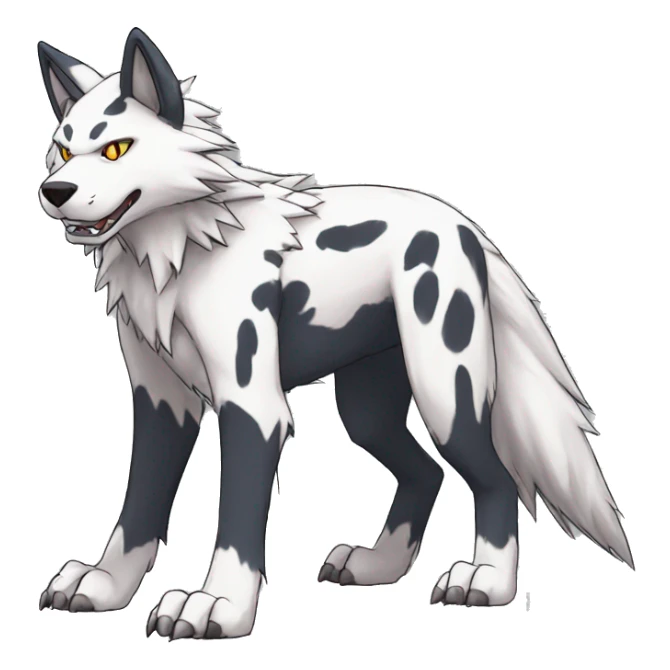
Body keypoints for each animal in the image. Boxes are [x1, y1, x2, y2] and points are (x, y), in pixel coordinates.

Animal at [36, 27, 633, 639]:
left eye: (116, 149)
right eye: (62, 151)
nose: (52, 191)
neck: (181, 251)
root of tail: (463, 223)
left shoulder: (252, 408)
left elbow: (235, 517)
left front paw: (218, 606)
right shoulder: (162, 402)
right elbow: (139, 502)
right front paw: (106, 584)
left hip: (443, 394)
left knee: (495, 477)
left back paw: (485, 582)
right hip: (368, 412)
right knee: (426, 474)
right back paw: (379, 565)